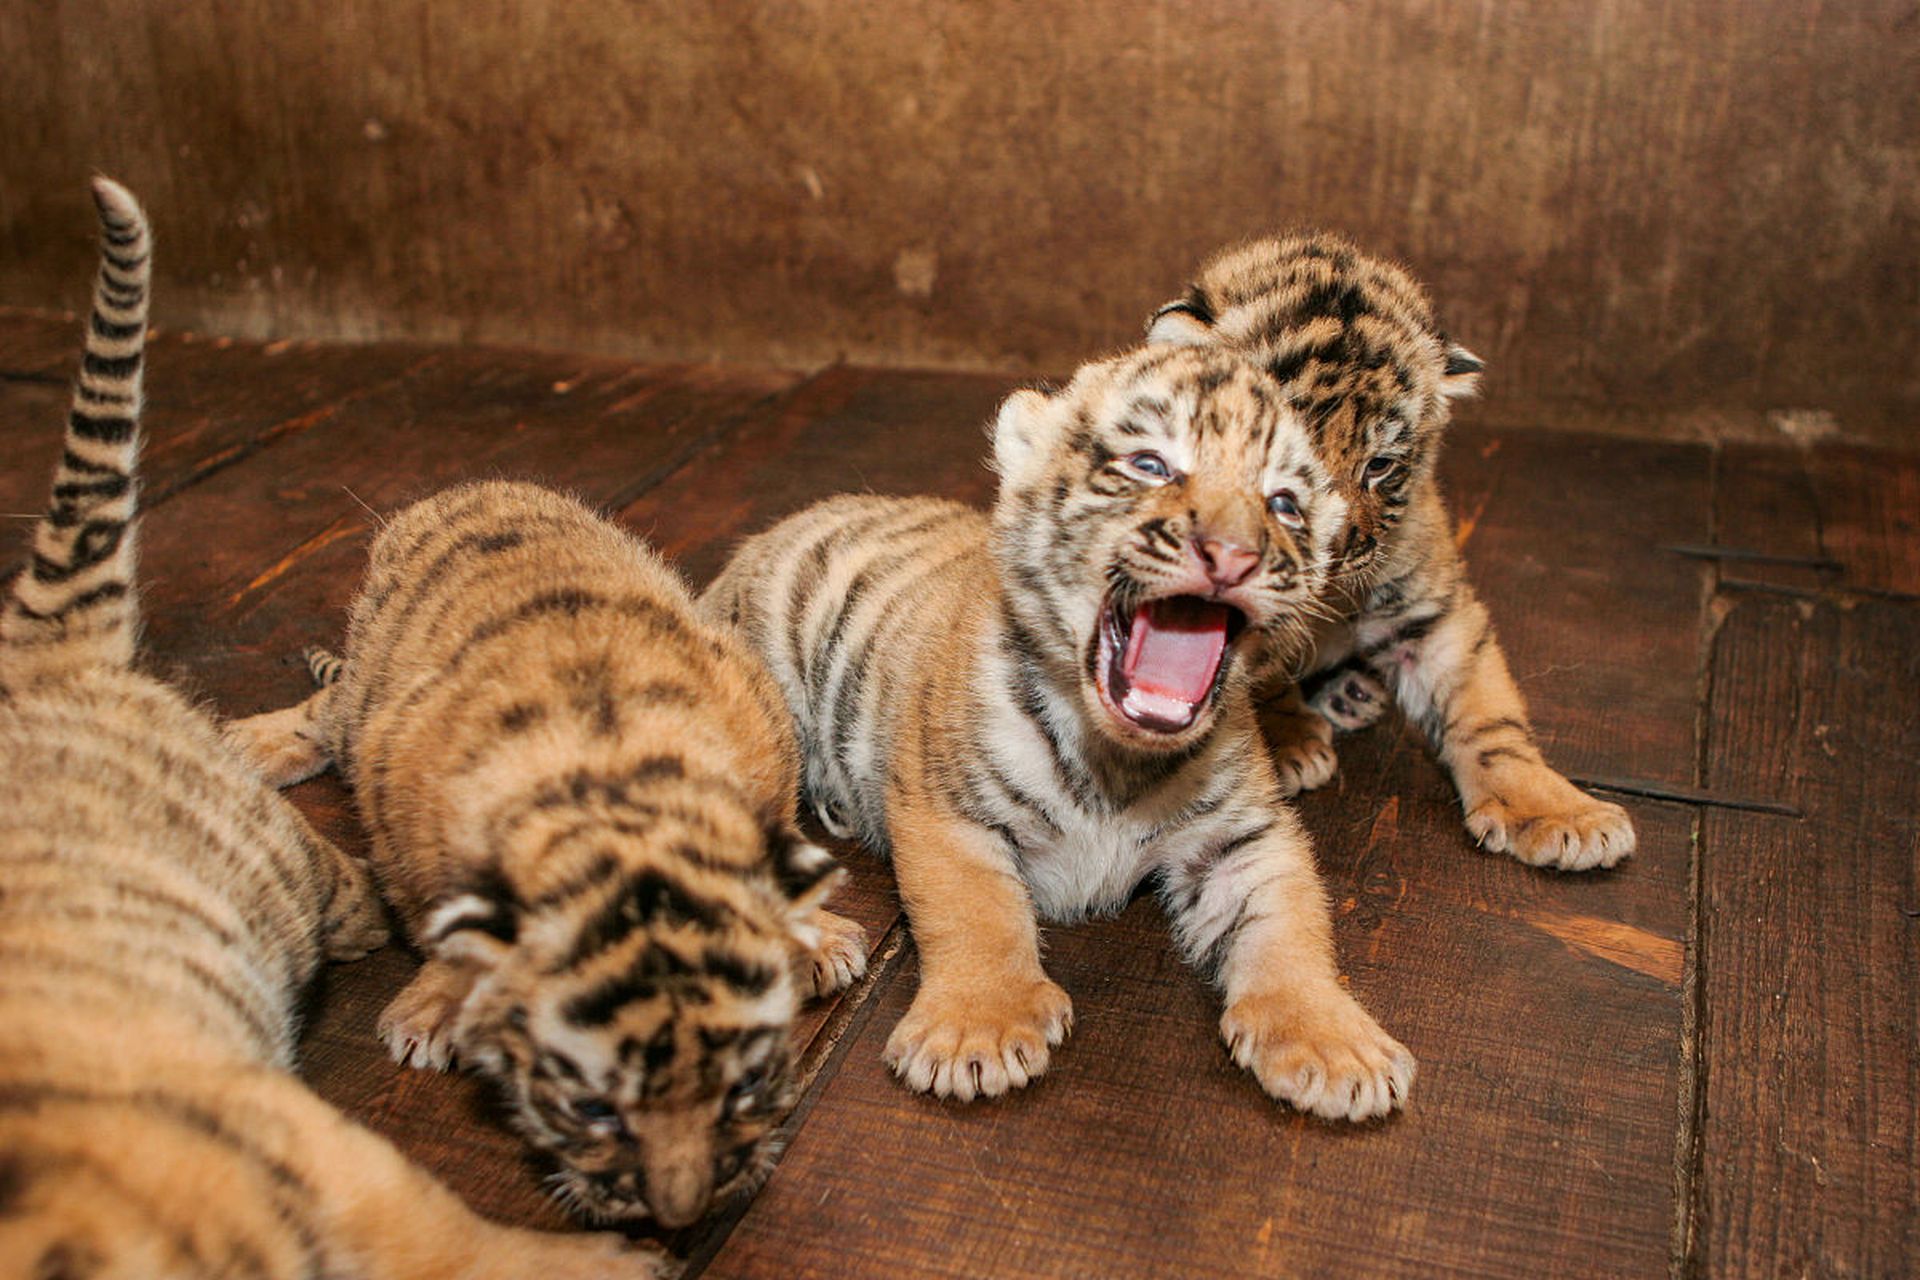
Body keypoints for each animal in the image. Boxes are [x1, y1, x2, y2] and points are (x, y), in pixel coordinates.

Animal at [227, 479, 871, 1228]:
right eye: (592, 1107)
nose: (678, 1210)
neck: (614, 795)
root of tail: (468, 488)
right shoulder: (400, 796)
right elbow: (435, 917)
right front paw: (434, 1008)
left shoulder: (761, 717)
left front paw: (819, 938)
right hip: (367, 692)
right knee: (332, 710)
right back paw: (252, 743)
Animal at [701, 343, 1416, 1121]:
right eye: (1150, 464)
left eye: (1283, 502)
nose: (1232, 554)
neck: (1120, 760)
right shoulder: (946, 808)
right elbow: (976, 911)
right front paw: (977, 1031)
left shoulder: (1244, 836)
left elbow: (1292, 924)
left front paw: (1333, 1045)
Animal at [1146, 233, 1636, 871]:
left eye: (1378, 465)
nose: (1331, 547)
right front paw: (1287, 741)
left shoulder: (1433, 613)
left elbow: (1487, 713)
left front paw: (1560, 814)